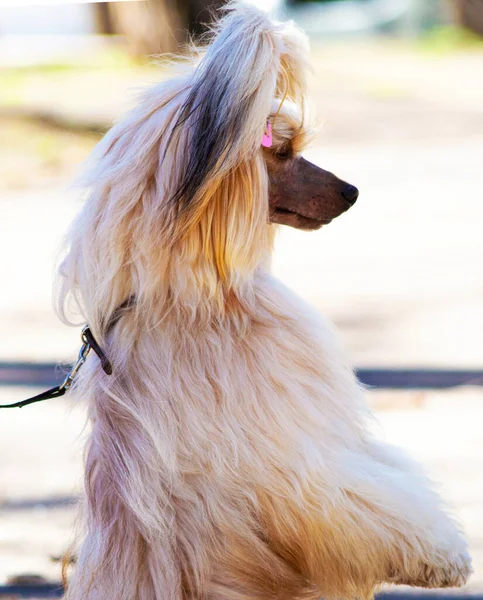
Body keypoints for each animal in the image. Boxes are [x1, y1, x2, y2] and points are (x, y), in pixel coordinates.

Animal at [54, 2, 470, 596]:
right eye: (285, 151)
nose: (353, 193)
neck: (200, 302)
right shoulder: (289, 460)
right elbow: (365, 501)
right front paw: (441, 556)